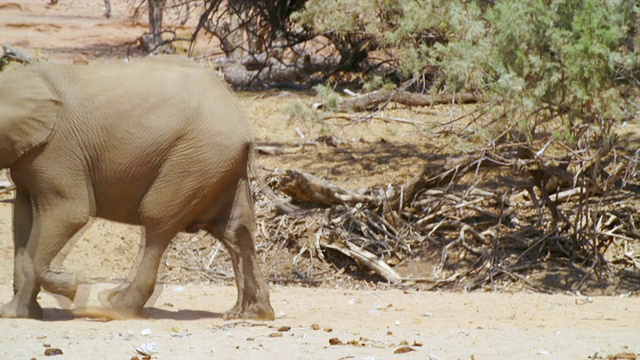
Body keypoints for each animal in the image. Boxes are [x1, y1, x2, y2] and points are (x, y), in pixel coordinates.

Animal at [0, 54, 276, 320]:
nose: (75, 279)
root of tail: (243, 123)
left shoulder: (57, 150)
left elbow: (70, 213)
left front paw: (74, 285)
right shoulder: (29, 157)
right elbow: (22, 221)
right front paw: (17, 314)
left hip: (197, 159)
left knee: (157, 221)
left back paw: (115, 307)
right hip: (219, 166)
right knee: (235, 230)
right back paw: (251, 314)